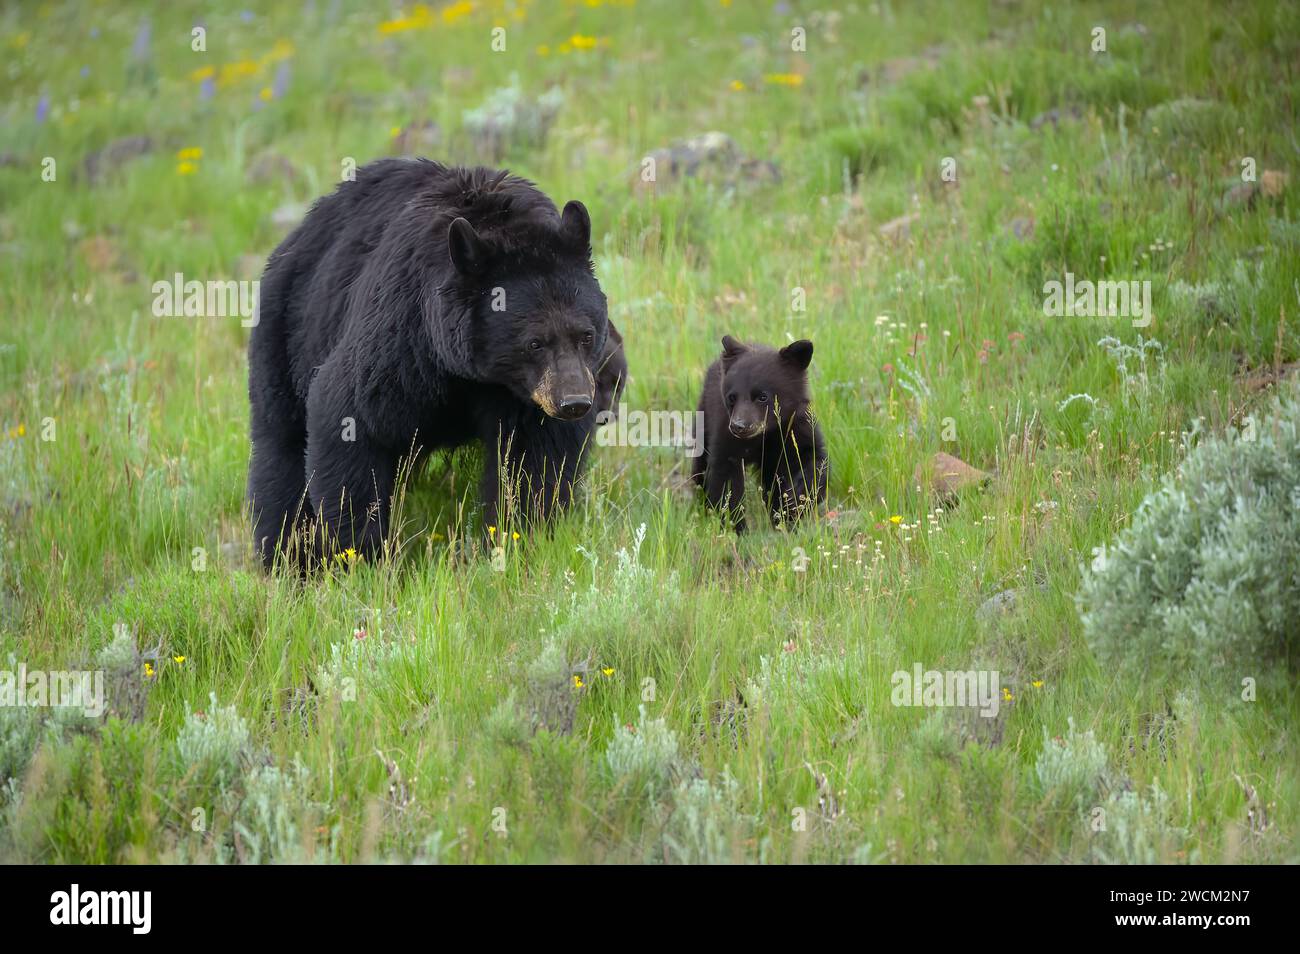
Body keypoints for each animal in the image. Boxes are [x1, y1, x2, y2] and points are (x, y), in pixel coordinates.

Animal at [247, 158, 614, 569]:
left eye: (585, 334)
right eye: (534, 343)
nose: (574, 402)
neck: (472, 371)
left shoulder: (524, 397)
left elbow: (531, 462)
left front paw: (517, 536)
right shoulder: (402, 339)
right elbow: (348, 418)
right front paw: (361, 555)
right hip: (289, 333)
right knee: (281, 453)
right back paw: (287, 558)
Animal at [690, 335, 828, 532]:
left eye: (763, 396)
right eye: (732, 397)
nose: (739, 426)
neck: (765, 434)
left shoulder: (795, 427)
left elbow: (811, 459)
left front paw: (794, 503)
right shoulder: (725, 435)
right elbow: (726, 478)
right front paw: (736, 526)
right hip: (705, 419)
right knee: (700, 465)